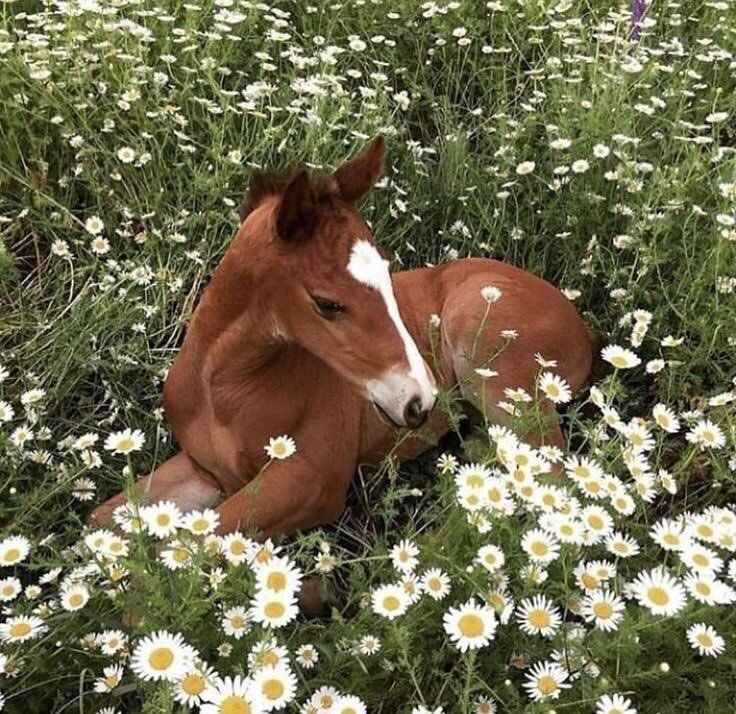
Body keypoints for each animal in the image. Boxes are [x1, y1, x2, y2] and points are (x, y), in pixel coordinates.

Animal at [90, 135, 600, 536]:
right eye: (327, 303)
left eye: (389, 277)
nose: (420, 400)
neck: (222, 390)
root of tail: (582, 326)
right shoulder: (204, 470)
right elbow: (100, 524)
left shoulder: (311, 482)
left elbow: (193, 545)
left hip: (493, 363)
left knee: (551, 486)